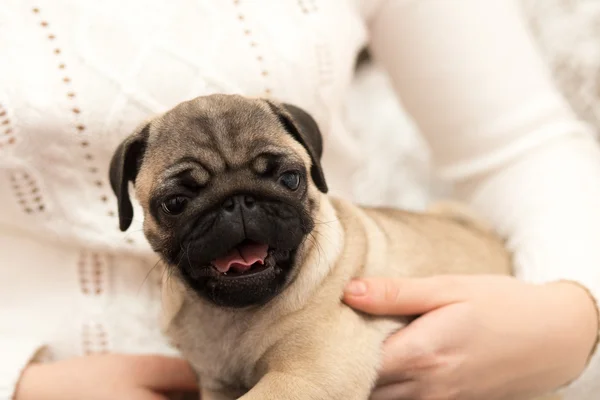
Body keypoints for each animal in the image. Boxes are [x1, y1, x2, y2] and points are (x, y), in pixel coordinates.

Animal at [110, 94, 560, 400]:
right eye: (175, 203)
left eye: (290, 179)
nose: (236, 201)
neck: (229, 318)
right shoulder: (218, 384)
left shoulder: (305, 378)